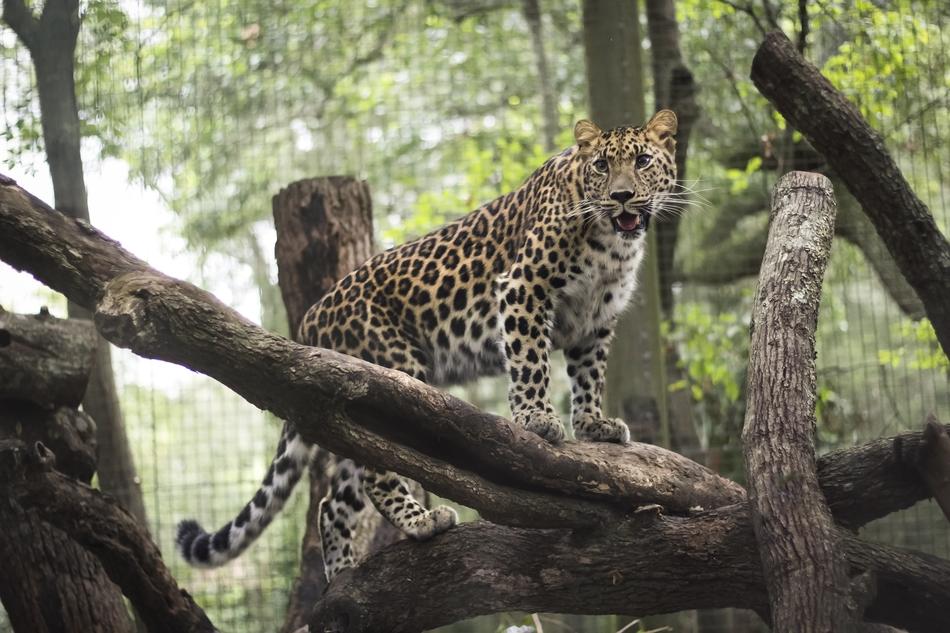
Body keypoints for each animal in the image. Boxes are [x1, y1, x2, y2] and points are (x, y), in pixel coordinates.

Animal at [176, 109, 678, 581]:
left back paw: (342, 578)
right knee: (374, 473)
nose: (622, 196)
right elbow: (530, 359)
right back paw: (421, 522)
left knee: (334, 501)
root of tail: (310, 321)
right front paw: (537, 420)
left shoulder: (595, 321)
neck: (613, 247)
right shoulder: (522, 287)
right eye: (601, 165)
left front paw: (593, 425)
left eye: (642, 161)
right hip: (389, 377)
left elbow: (589, 376)